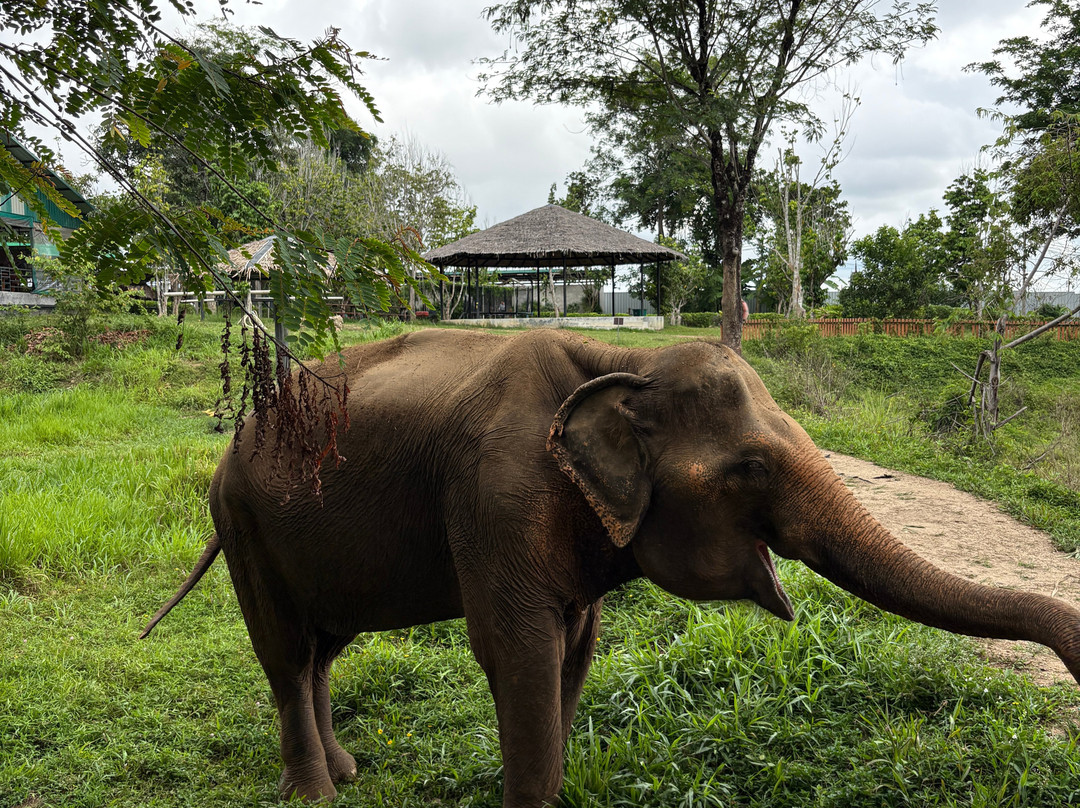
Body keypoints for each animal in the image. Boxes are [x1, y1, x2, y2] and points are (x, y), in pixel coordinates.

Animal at [142, 327, 1080, 806]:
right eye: (750, 469)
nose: (1074, 652)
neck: (619, 361)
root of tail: (233, 440)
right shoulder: (495, 493)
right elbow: (517, 650)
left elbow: (575, 650)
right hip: (243, 523)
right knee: (285, 653)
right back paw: (315, 794)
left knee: (324, 650)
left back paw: (346, 773)